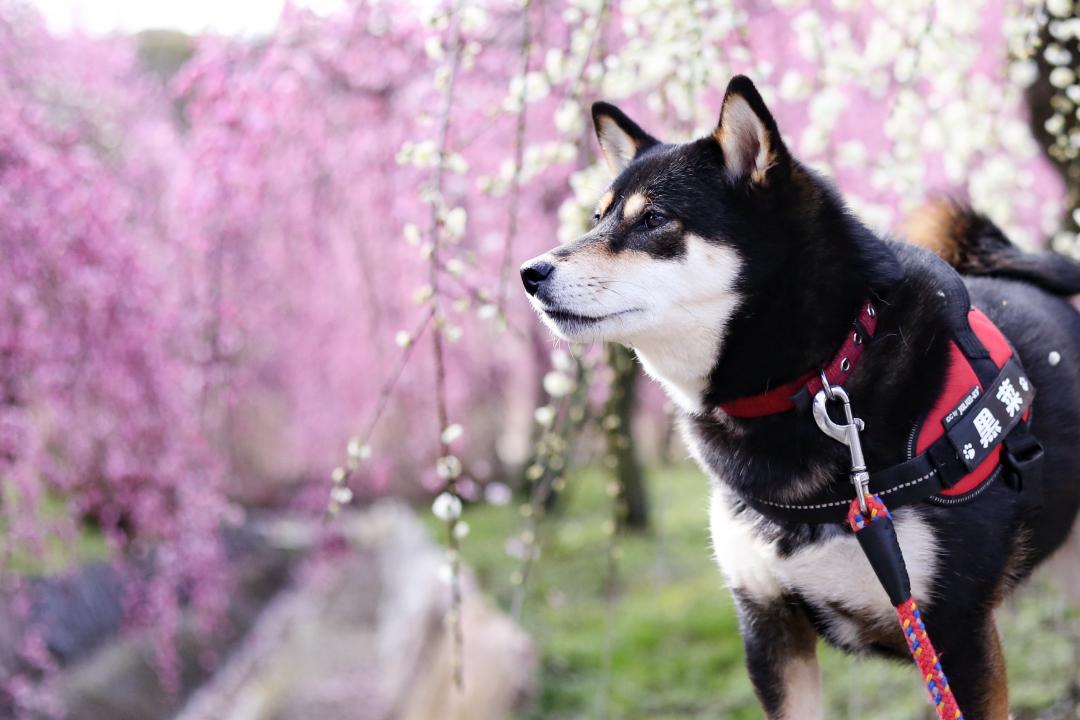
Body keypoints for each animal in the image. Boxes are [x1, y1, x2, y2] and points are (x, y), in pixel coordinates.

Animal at [518, 76, 1080, 716]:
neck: (821, 376)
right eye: (597, 216)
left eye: (654, 218)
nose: (529, 273)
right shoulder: (768, 624)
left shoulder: (957, 630)